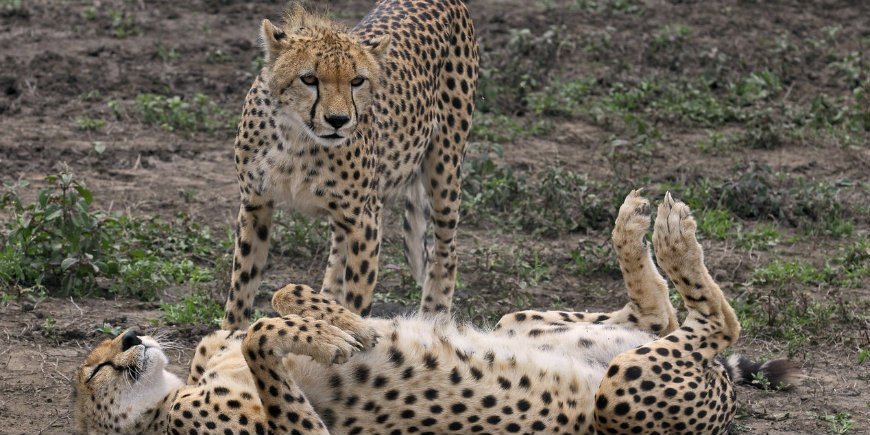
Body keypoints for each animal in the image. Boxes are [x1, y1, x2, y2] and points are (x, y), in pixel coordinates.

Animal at [73, 191, 802, 434]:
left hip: (538, 329)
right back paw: (673, 236)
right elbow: (261, 335)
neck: (171, 393)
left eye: (103, 351)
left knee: (661, 318)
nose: (130, 335)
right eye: (92, 375)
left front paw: (343, 325)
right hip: (621, 394)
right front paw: (336, 338)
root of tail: (726, 397)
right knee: (716, 324)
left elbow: (272, 306)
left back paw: (639, 227)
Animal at [223, 0, 479, 330]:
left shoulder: (365, 219)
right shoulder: (256, 204)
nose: (338, 120)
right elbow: (242, 285)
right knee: (338, 250)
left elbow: (357, 298)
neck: (296, 139)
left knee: (447, 251)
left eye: (357, 81)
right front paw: (229, 335)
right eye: (309, 79)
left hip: (444, 167)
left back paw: (434, 317)